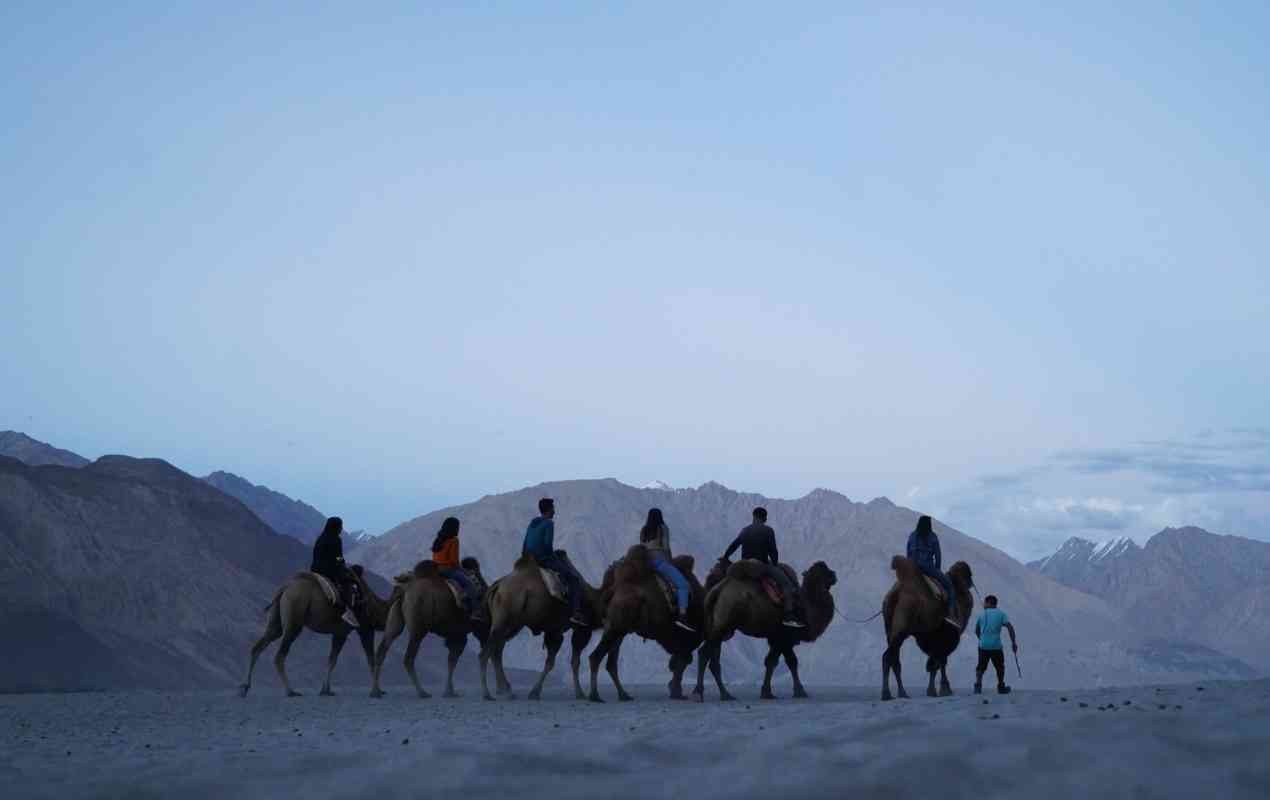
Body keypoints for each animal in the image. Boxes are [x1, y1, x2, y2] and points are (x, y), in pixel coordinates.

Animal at [238, 566, 393, 700]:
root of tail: (284, 589)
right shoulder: (365, 629)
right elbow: (371, 659)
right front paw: (377, 691)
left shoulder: (340, 633)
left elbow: (332, 660)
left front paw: (326, 690)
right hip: (294, 617)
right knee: (279, 655)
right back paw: (290, 691)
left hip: (276, 621)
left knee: (258, 646)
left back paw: (245, 687)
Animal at [477, 551, 601, 700]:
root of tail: (496, 587)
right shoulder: (567, 630)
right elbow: (559, 663)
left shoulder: (555, 630)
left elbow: (564, 662)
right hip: (504, 620)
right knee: (485, 654)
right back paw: (487, 693)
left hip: (511, 624)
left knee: (497, 651)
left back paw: (506, 690)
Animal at [584, 546, 706, 700]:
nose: (677, 693)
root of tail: (611, 591)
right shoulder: (671, 632)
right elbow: (683, 655)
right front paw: (676, 690)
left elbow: (682, 657)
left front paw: (675, 689)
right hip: (616, 628)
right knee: (596, 657)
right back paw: (595, 695)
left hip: (617, 629)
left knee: (611, 663)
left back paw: (623, 695)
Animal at [690, 561, 838, 706]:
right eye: (824, 571)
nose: (834, 575)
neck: (806, 608)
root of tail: (716, 591)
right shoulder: (783, 637)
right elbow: (786, 661)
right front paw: (798, 692)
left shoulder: (775, 638)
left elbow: (775, 661)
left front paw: (768, 692)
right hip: (723, 625)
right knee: (704, 654)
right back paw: (699, 693)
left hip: (718, 629)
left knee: (713, 660)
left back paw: (726, 695)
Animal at [883, 558, 970, 700]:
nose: (970, 583)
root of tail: (895, 594)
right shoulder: (947, 636)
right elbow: (940, 661)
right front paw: (944, 689)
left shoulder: (930, 637)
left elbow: (933, 664)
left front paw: (932, 691)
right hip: (901, 629)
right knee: (888, 657)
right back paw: (887, 694)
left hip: (891, 631)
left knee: (894, 659)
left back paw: (901, 693)